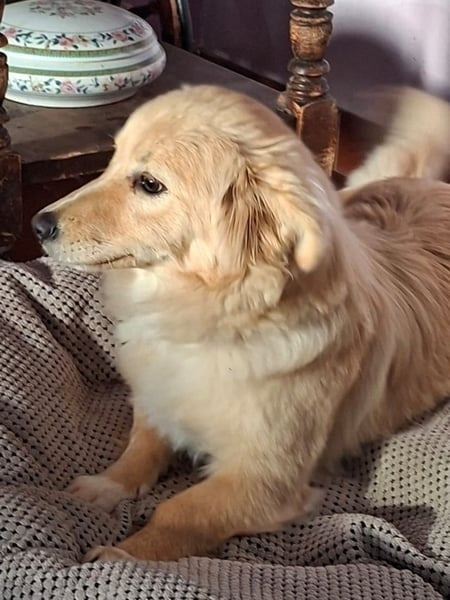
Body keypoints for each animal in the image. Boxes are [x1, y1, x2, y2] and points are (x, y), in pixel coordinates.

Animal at [31, 85, 450, 563]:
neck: (208, 314)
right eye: (113, 159)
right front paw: (107, 484)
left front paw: (124, 557)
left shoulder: (265, 481)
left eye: (150, 184)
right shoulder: (156, 403)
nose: (38, 224)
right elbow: (141, 448)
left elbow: (180, 511)